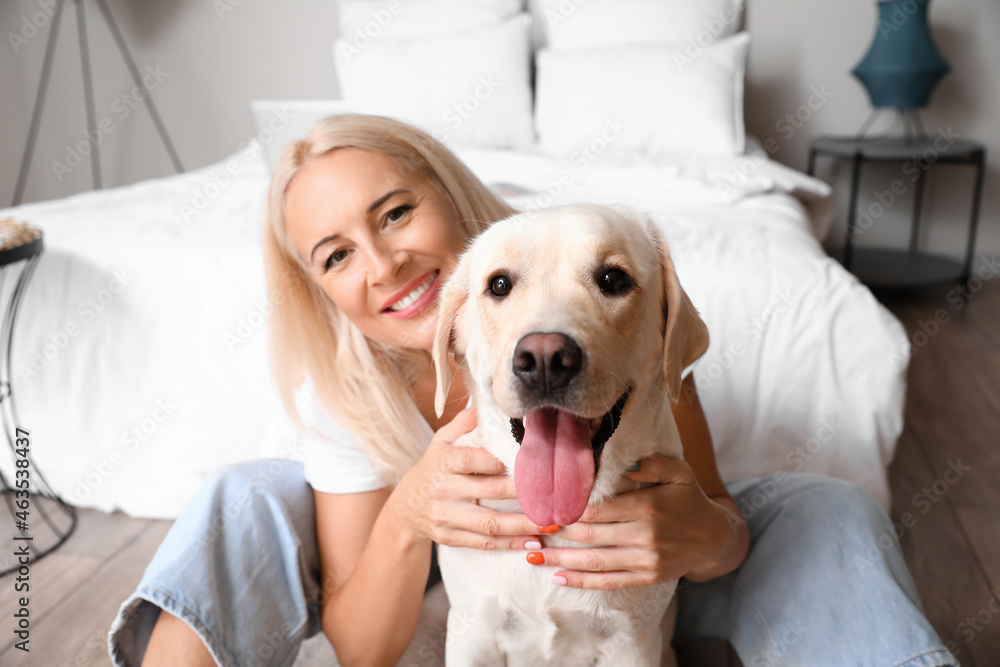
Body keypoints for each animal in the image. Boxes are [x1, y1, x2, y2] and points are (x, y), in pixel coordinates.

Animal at [432, 204, 712, 667]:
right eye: (500, 285)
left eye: (613, 279)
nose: (545, 358)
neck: (557, 523)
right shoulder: (472, 631)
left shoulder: (633, 642)